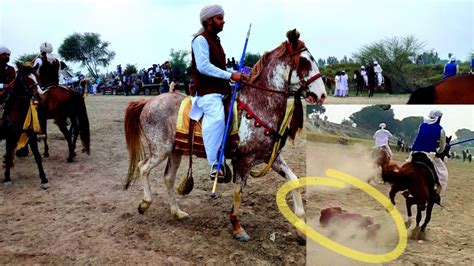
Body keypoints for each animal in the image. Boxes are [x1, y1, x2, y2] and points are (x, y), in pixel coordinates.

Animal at [124, 30, 328, 242]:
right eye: (304, 61)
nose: (322, 95)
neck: (259, 104)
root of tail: (148, 102)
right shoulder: (245, 160)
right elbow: (238, 192)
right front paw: (237, 227)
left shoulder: (270, 157)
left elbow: (294, 180)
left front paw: (301, 228)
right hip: (160, 149)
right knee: (143, 167)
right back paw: (145, 202)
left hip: (175, 151)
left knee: (168, 178)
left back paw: (177, 212)